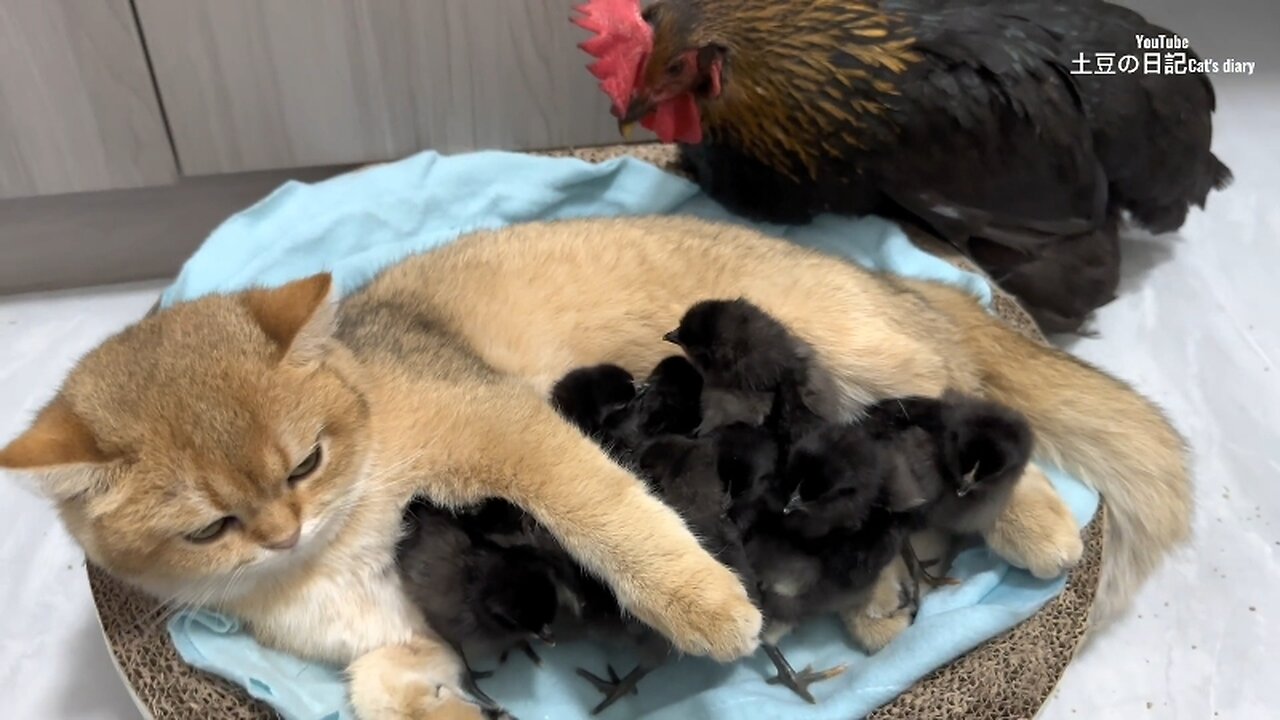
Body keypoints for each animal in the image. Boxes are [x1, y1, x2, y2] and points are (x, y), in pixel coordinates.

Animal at [0, 213, 1187, 717]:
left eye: (307, 462)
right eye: (209, 528)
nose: (284, 530)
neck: (331, 554)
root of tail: (885, 272)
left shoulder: (509, 437)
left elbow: (614, 515)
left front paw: (705, 603)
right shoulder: (401, 640)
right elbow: (388, 693)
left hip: (857, 353)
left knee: (972, 403)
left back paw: (1034, 524)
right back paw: (880, 604)